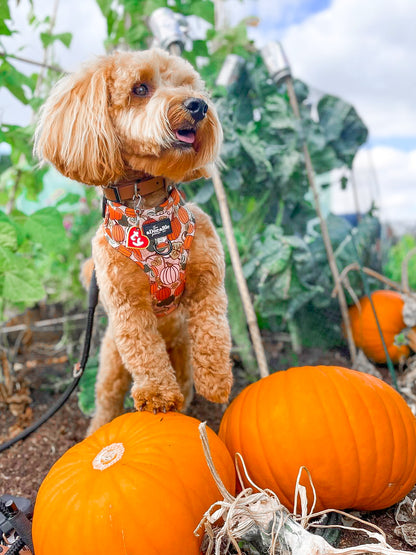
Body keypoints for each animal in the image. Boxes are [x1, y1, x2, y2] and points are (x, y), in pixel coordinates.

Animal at [34, 47, 232, 434]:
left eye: (188, 85)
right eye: (140, 88)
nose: (198, 105)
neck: (149, 213)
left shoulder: (208, 279)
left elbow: (213, 329)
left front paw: (216, 380)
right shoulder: (127, 307)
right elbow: (145, 353)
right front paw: (157, 395)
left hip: (180, 349)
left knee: (185, 378)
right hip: (111, 359)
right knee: (107, 399)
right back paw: (98, 430)